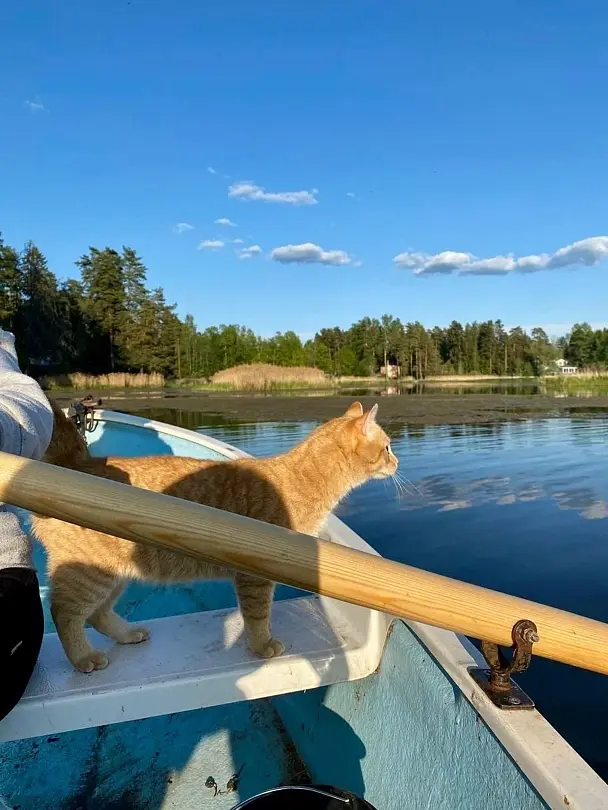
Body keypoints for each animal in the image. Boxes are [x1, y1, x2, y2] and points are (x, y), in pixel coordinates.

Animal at [34, 400, 399, 673]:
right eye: (386, 447)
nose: (396, 461)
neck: (303, 480)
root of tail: (74, 464)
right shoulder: (255, 576)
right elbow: (257, 615)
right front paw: (262, 646)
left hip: (115, 575)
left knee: (96, 614)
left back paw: (127, 634)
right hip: (89, 575)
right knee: (64, 613)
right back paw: (83, 657)